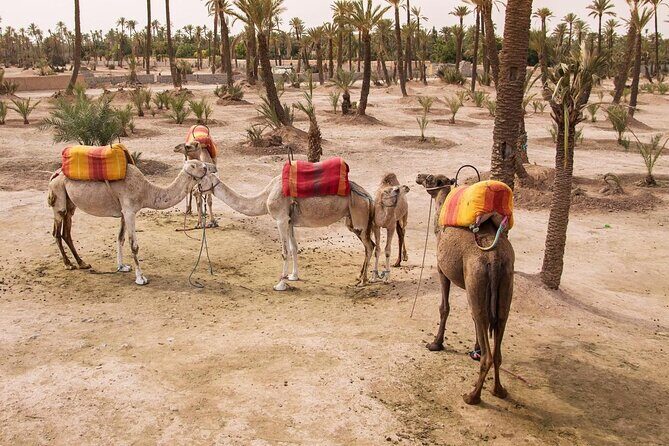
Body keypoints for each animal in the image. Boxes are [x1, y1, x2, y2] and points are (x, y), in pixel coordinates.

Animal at [47, 160, 217, 285]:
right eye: (203, 166)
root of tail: (55, 175)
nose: (214, 168)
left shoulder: (123, 211)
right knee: (57, 231)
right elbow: (134, 245)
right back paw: (68, 264)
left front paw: (122, 266)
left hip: (70, 202)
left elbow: (120, 238)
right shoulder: (129, 211)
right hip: (58, 195)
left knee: (66, 232)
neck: (146, 191)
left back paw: (82, 263)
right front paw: (140, 278)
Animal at [198, 173, 375, 291]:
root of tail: (369, 196)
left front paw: (280, 284)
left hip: (359, 216)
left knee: (370, 246)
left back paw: (363, 281)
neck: (265, 196)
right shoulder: (289, 221)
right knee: (370, 245)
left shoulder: (281, 220)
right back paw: (361, 277)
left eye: (203, 178)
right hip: (353, 220)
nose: (196, 188)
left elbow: (284, 252)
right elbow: (294, 248)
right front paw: (293, 276)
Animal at [416, 173, 515, 405]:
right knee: (496, 334)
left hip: (477, 276)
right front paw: (475, 348)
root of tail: (494, 259)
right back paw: (499, 390)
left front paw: (436, 343)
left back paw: (472, 396)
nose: (418, 177)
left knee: (486, 340)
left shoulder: (442, 269)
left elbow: (444, 307)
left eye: (430, 178)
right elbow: (473, 318)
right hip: (505, 280)